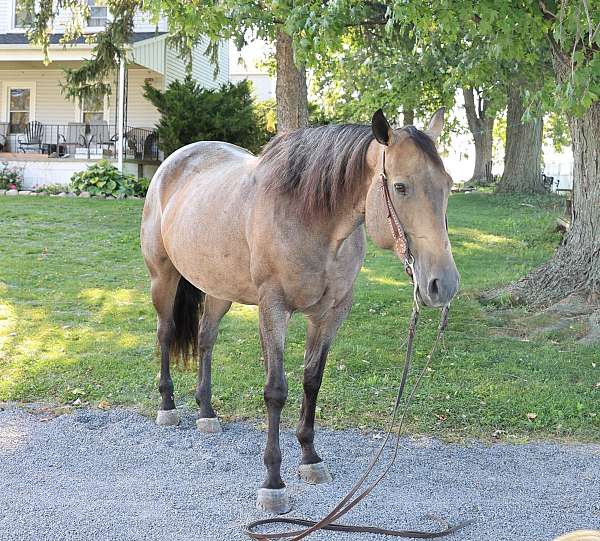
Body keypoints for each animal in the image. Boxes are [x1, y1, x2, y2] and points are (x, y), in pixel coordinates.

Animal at [141, 107, 460, 512]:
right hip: (162, 276)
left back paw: (206, 412)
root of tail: (173, 162)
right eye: (401, 187)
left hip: (219, 289)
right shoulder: (273, 308)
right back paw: (168, 405)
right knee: (165, 333)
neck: (311, 219)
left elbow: (312, 381)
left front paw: (310, 458)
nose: (443, 284)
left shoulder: (331, 313)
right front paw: (273, 482)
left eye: (447, 184)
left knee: (205, 339)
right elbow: (276, 390)